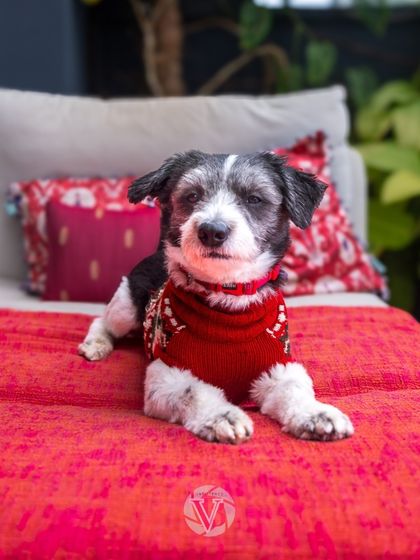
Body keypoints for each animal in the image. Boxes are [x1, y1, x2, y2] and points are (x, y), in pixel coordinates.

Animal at [79, 150, 354, 444]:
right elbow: (195, 391)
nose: (212, 230)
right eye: (192, 196)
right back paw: (96, 344)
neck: (226, 300)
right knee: (102, 321)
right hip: (126, 306)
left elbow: (294, 388)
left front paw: (316, 414)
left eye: (254, 199)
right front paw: (221, 416)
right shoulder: (164, 376)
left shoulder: (279, 366)